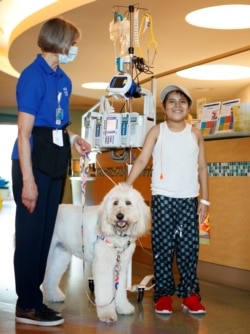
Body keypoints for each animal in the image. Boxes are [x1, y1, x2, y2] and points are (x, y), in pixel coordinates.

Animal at [42, 184, 150, 322]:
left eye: (128, 203)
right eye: (115, 202)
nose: (120, 216)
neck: (116, 236)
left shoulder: (120, 268)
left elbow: (120, 291)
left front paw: (123, 307)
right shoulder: (103, 267)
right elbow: (104, 292)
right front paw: (107, 314)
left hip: (59, 254)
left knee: (50, 277)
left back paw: (54, 295)